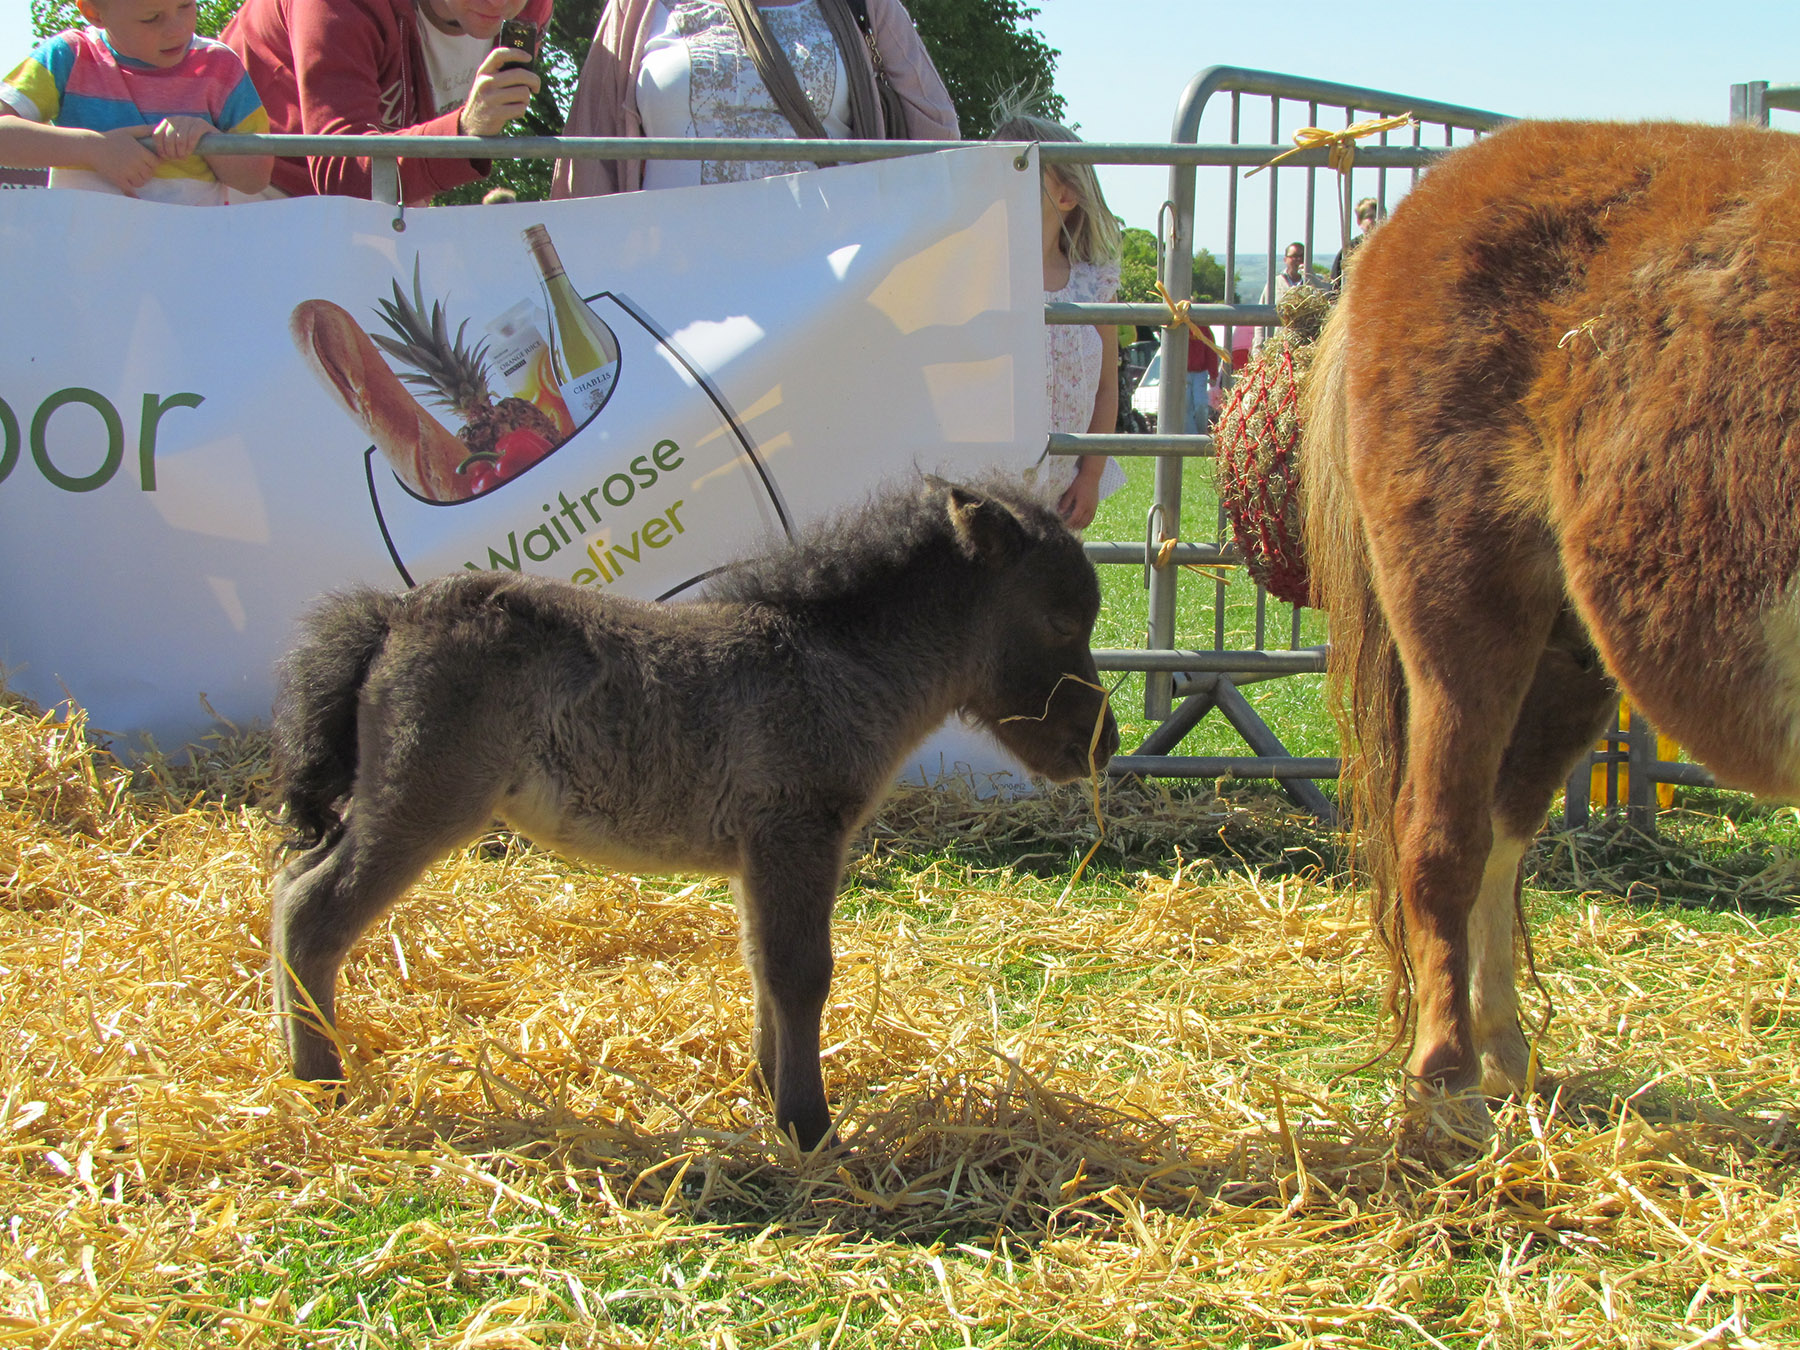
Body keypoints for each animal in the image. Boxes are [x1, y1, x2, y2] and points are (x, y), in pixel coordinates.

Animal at [267, 478, 1119, 1150]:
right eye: (1060, 621)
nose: (1102, 745)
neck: (831, 662)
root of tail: (394, 614)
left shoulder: (761, 852)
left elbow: (762, 964)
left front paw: (769, 1091)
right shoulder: (797, 834)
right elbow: (801, 971)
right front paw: (810, 1128)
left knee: (291, 881)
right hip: (424, 801)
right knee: (312, 908)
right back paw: (322, 1083)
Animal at [1301, 120, 1800, 1105]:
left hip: (1570, 654)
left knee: (1502, 829)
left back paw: (1502, 1050)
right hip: (1463, 616)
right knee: (1442, 838)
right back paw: (1446, 1068)